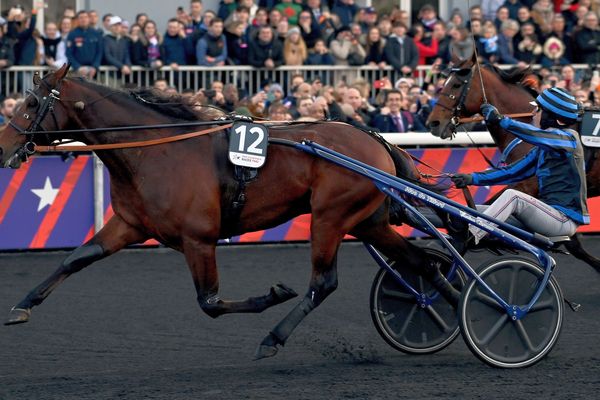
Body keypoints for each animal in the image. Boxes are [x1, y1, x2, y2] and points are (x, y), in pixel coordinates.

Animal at [0, 65, 460, 360]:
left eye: (31, 104)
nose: (4, 145)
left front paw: (273, 294)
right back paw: (462, 308)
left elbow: (210, 302)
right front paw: (21, 306)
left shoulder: (198, 238)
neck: (156, 151)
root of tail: (375, 139)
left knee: (323, 282)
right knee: (424, 263)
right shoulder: (130, 224)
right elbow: (76, 258)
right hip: (368, 221)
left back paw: (273, 338)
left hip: (330, 216)